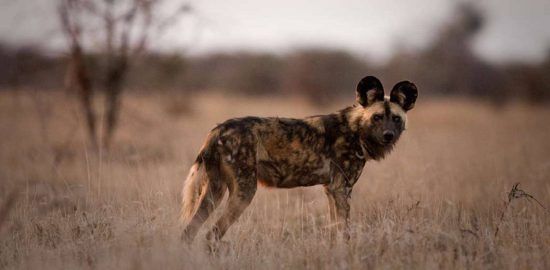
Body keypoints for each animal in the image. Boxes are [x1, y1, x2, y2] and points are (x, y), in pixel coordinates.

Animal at [181, 75, 418, 243]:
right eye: (377, 117)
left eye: (396, 118)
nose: (388, 135)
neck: (355, 129)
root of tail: (218, 129)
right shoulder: (342, 189)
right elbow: (345, 233)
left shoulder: (331, 190)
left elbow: (334, 232)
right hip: (244, 192)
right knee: (211, 236)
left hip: (214, 192)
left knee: (188, 234)